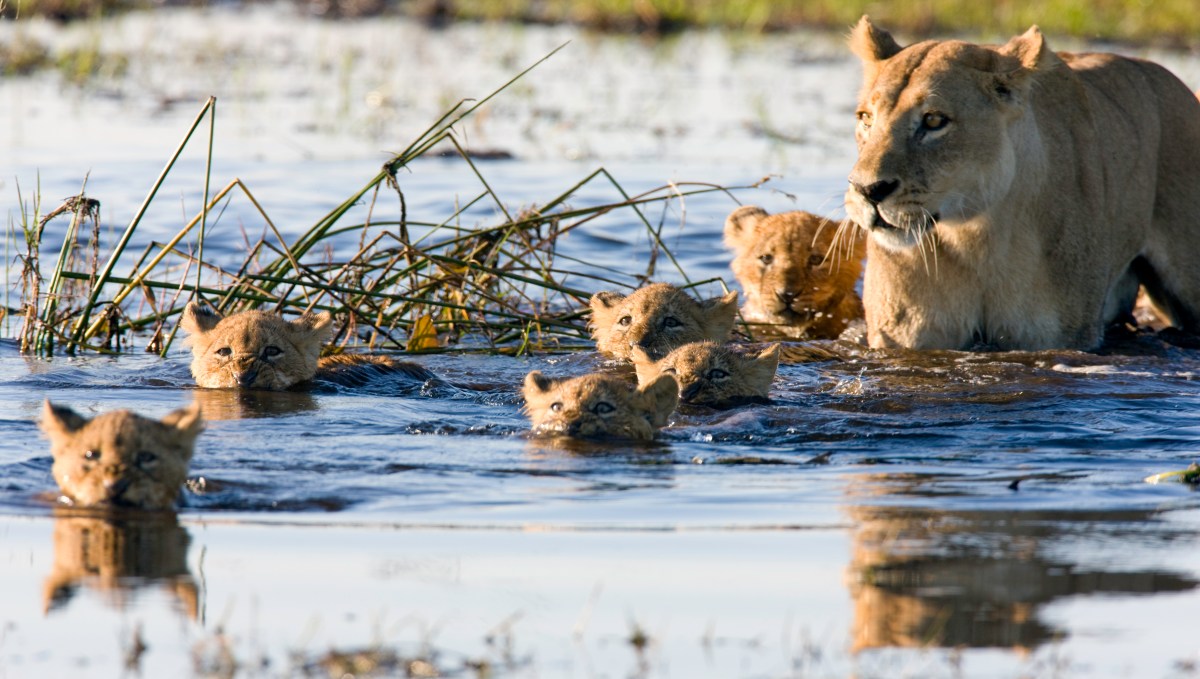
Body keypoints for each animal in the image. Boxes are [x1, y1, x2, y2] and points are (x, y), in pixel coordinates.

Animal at [845, 17, 1200, 350]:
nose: (867, 190)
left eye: (933, 121)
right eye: (866, 118)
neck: (975, 239)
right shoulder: (906, 339)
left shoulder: (1060, 338)